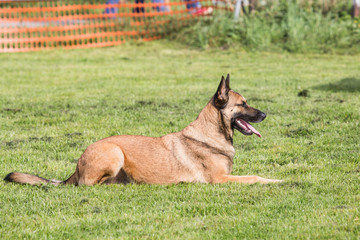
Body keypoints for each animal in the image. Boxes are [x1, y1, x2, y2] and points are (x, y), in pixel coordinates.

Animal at [4, 74, 282, 186]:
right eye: (243, 104)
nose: (265, 115)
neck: (209, 134)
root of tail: (76, 166)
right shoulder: (219, 180)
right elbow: (255, 177)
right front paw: (279, 181)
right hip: (114, 153)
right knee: (90, 185)